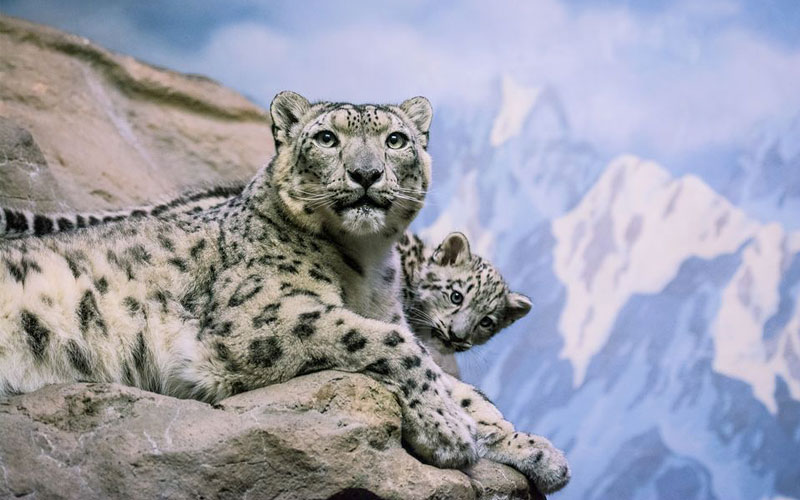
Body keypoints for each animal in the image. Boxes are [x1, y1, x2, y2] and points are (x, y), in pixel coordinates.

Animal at [0, 91, 569, 493]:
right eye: (326, 138)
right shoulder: (262, 317)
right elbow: (391, 345)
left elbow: (465, 390)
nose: (366, 174)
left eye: (396, 140)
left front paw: (540, 452)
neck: (368, 265)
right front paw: (448, 431)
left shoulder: (394, 317)